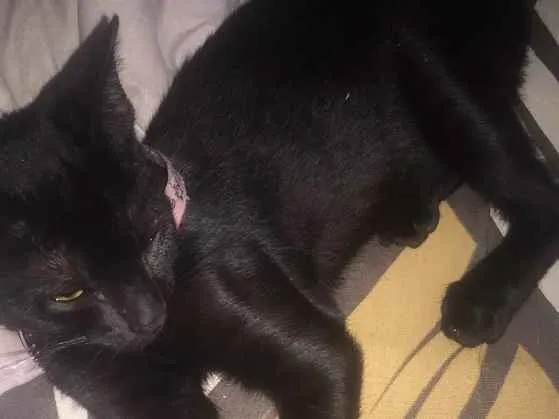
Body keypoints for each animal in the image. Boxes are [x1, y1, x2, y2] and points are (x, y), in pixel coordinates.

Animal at [0, 0, 555, 418]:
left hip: (430, 66)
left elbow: (322, 359)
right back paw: (410, 209)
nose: (148, 315)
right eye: (69, 292)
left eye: (150, 236)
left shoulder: (301, 337)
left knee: (537, 191)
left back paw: (480, 298)